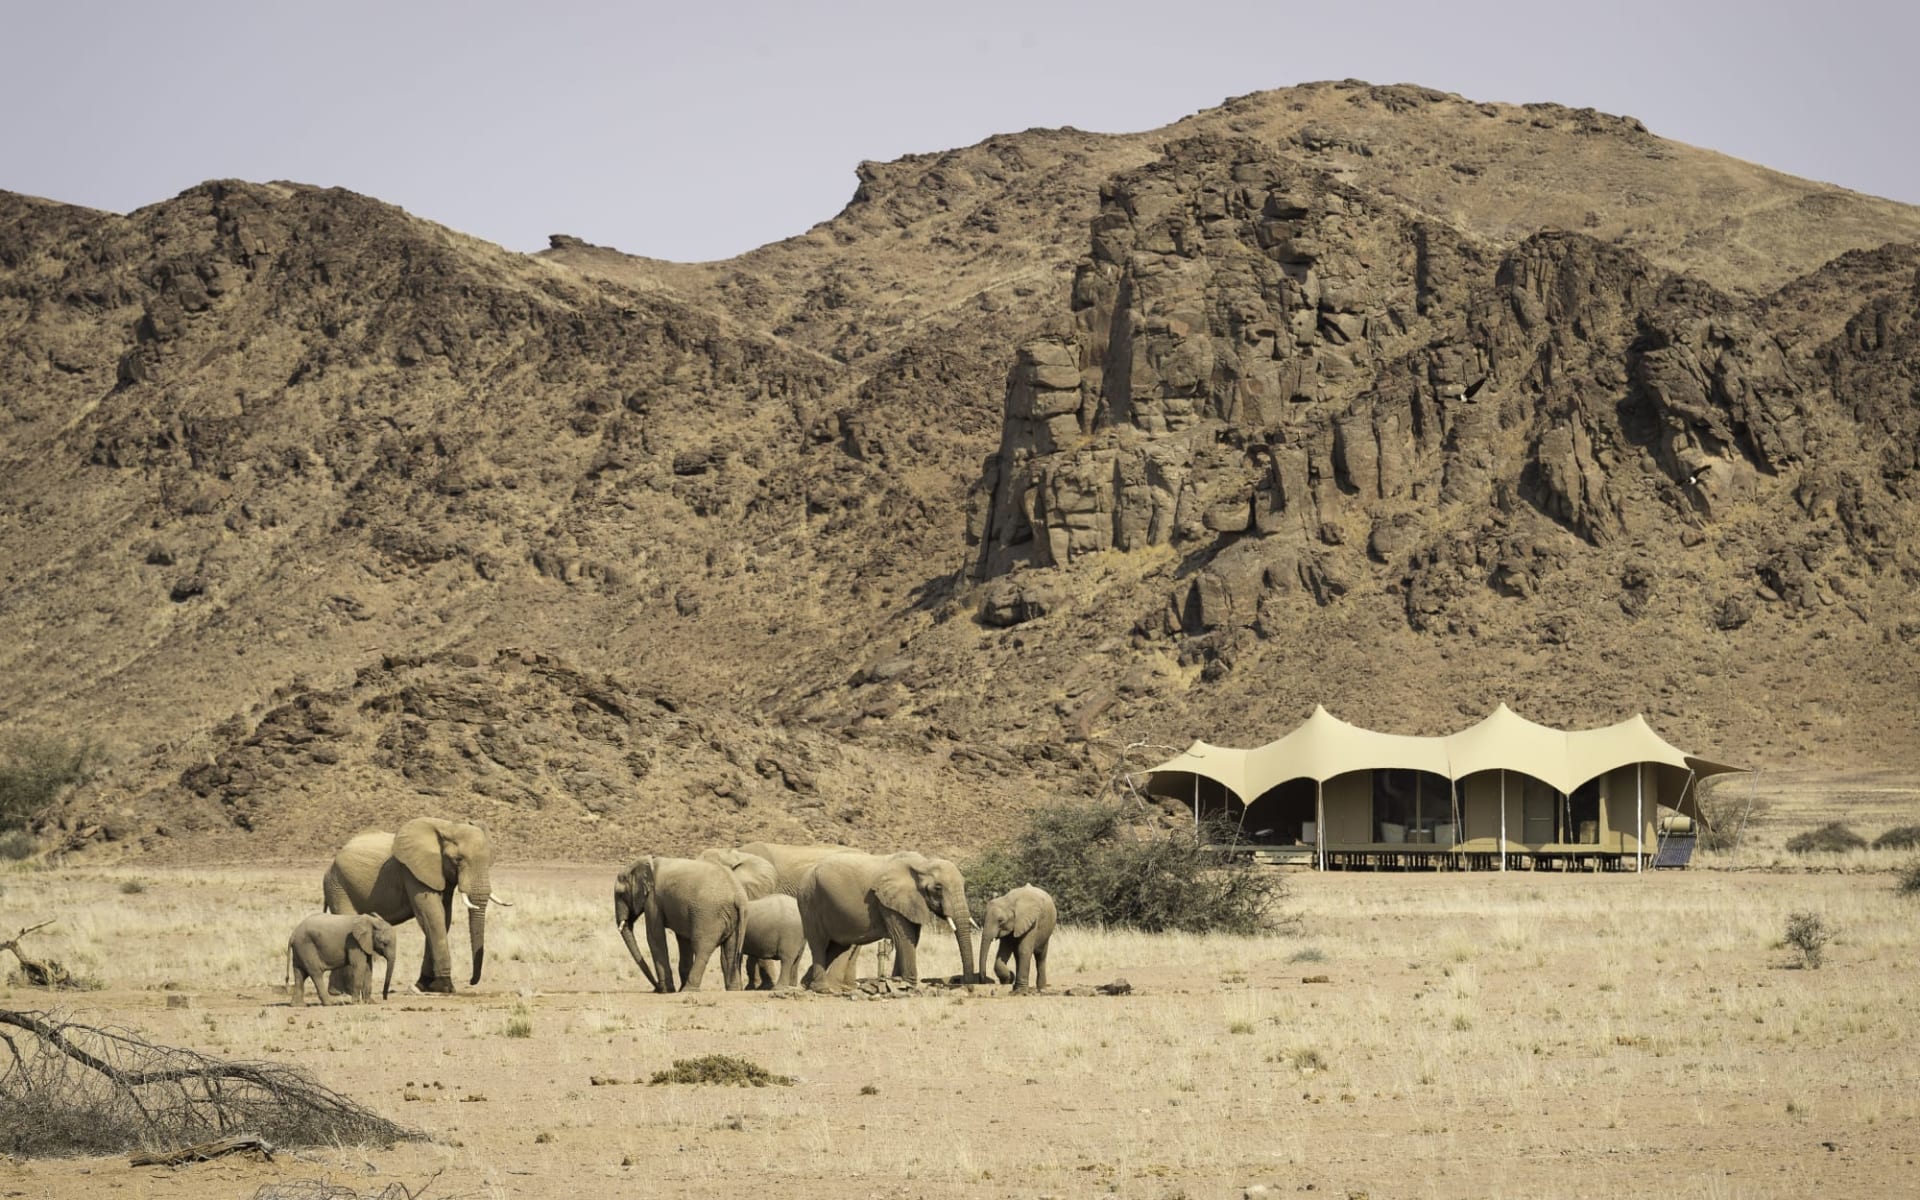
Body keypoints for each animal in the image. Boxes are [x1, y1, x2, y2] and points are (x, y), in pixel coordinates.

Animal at [322, 814, 503, 990]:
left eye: (489, 861)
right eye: (458, 859)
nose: (471, 981)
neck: (448, 827)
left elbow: (443, 917)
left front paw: (423, 986)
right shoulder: (411, 872)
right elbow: (432, 916)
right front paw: (445, 987)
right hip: (337, 886)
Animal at [610, 852, 744, 990]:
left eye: (620, 894)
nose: (656, 988)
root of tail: (738, 896)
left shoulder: (653, 900)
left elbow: (654, 937)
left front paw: (667, 990)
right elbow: (683, 939)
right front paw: (673, 989)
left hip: (709, 915)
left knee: (702, 948)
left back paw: (688, 989)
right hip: (733, 917)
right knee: (730, 952)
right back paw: (733, 990)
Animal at [794, 852, 975, 990]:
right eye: (938, 888)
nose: (966, 986)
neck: (922, 864)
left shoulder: (908, 902)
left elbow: (912, 938)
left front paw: (896, 981)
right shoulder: (886, 902)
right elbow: (904, 937)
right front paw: (908, 985)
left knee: (836, 947)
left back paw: (808, 984)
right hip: (809, 900)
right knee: (819, 943)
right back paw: (823, 989)